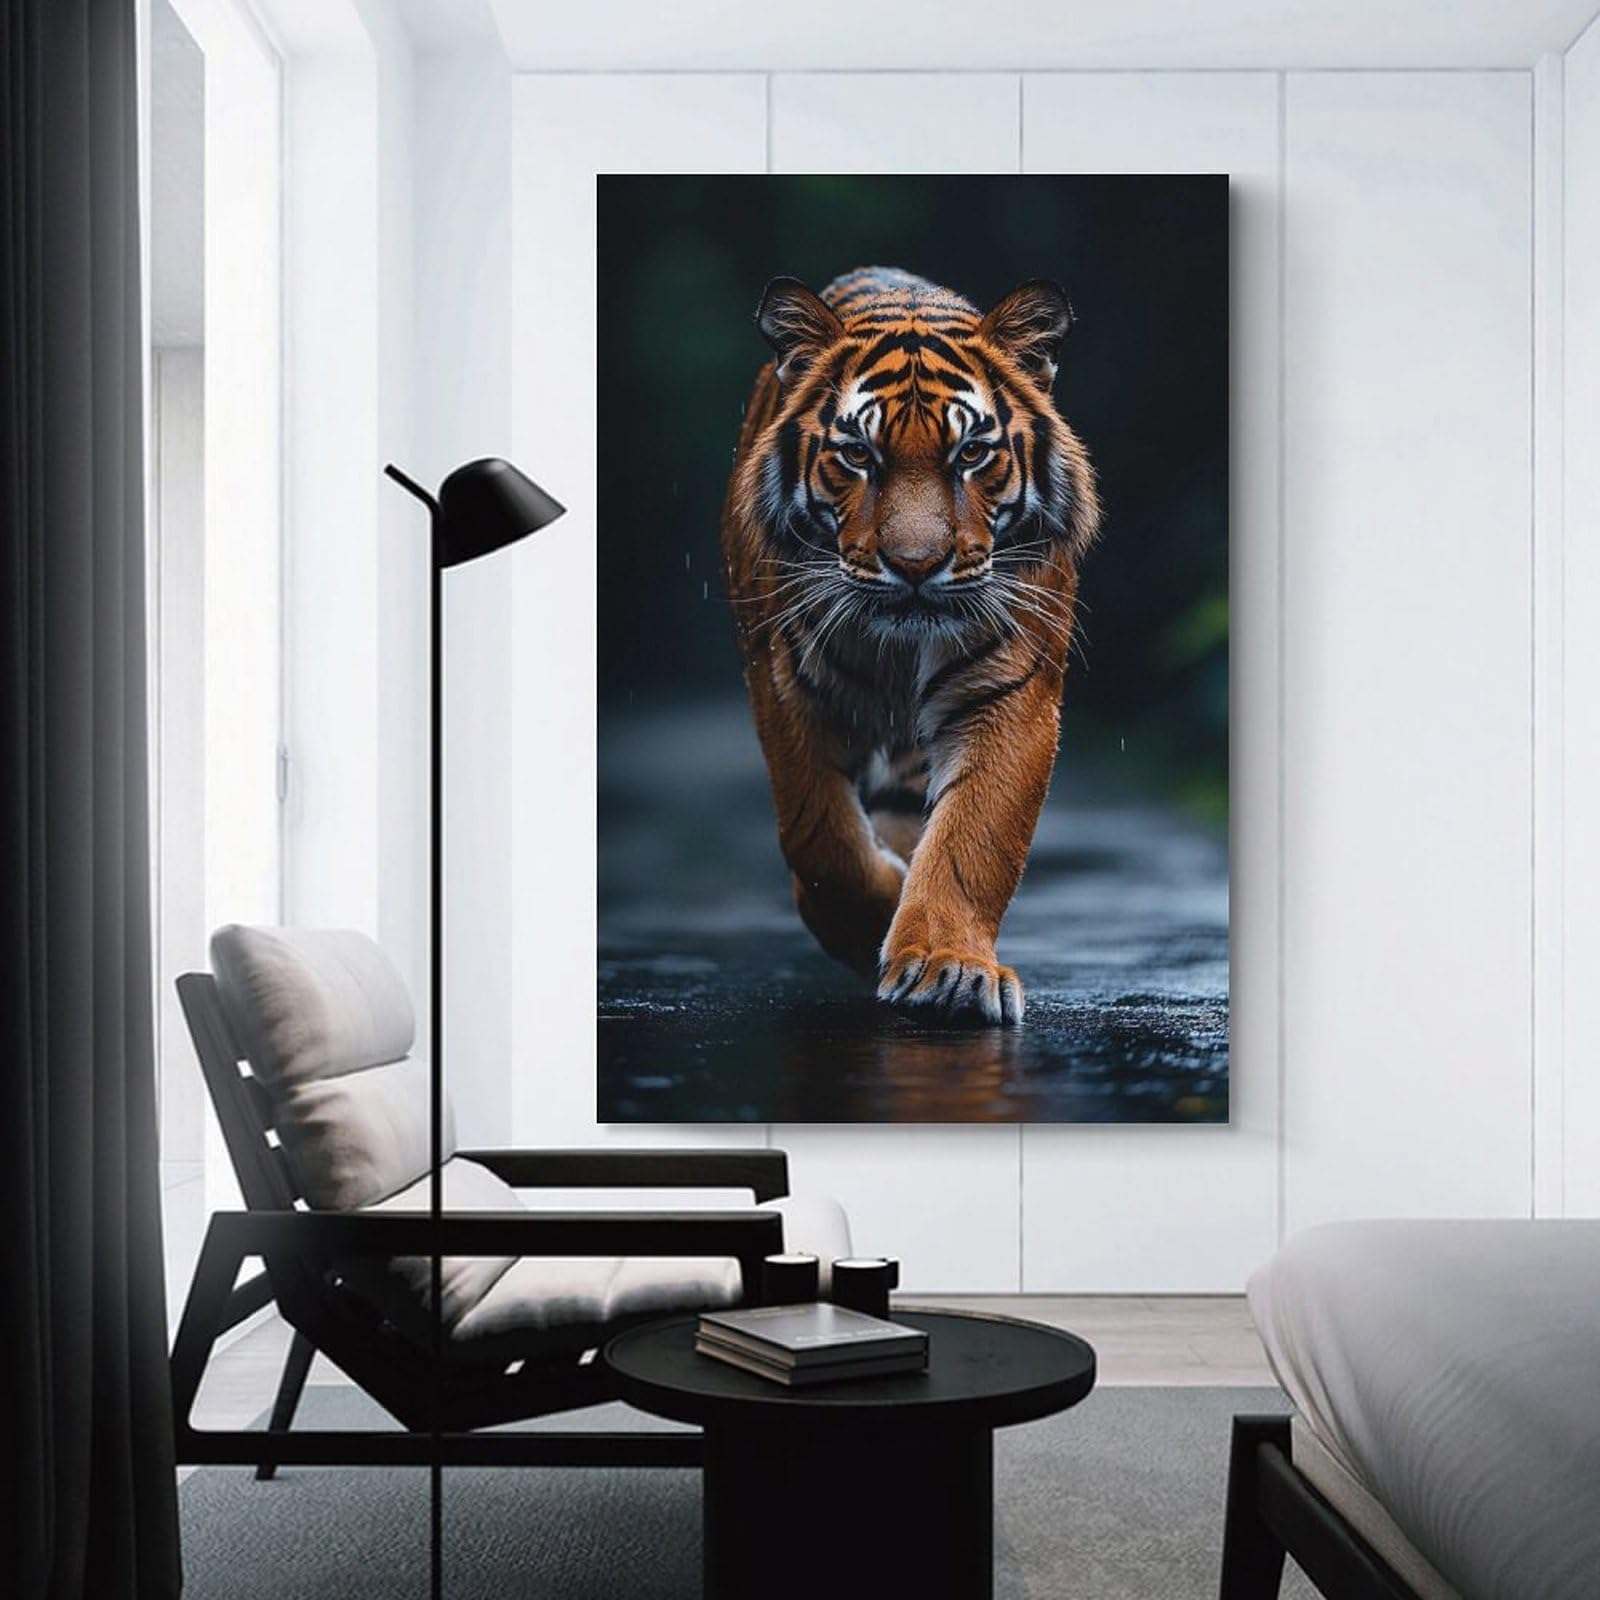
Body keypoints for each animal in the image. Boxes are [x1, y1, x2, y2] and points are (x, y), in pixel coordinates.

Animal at [720, 266, 1100, 1025]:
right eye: (857, 456)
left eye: (971, 454)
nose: (917, 565)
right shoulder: (786, 688)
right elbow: (821, 838)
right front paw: (875, 920)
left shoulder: (1010, 695)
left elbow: (973, 838)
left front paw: (945, 966)